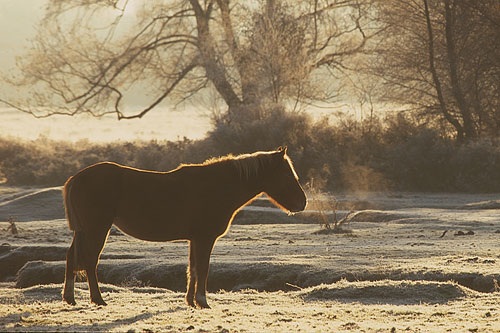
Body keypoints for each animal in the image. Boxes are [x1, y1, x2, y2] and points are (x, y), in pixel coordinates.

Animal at [61, 147, 304, 308]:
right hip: (96, 229)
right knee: (90, 260)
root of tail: (76, 178)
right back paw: (98, 299)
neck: (217, 186)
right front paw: (203, 302)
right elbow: (203, 268)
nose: (303, 203)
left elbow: (193, 268)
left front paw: (191, 301)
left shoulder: (195, 239)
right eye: (286, 174)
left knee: (72, 257)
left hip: (82, 231)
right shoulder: (205, 238)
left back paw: (70, 298)